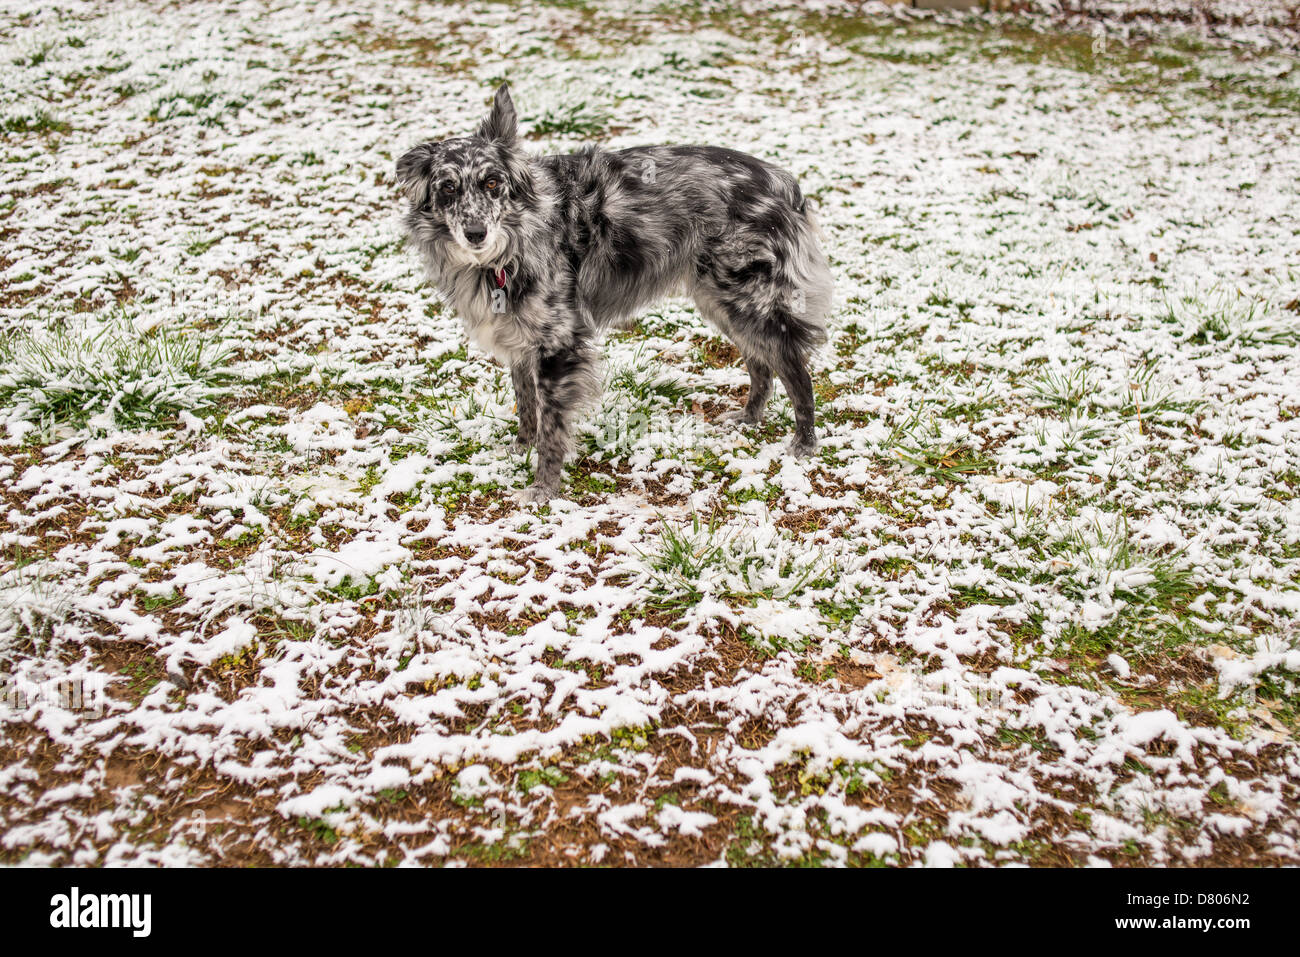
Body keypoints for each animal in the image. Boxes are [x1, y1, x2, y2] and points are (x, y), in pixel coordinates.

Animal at [395, 83, 837, 504]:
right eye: (448, 188)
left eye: (492, 183)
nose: (476, 233)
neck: (513, 242)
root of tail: (782, 182)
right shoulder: (520, 337)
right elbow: (526, 405)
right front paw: (521, 448)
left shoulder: (558, 344)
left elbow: (551, 426)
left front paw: (543, 488)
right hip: (722, 302)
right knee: (761, 365)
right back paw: (749, 418)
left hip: (750, 301)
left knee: (795, 371)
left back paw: (803, 443)